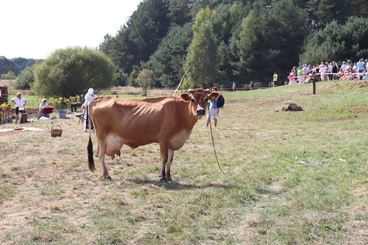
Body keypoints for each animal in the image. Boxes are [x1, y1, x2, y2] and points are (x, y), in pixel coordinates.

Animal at [87, 88, 218, 180]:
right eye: (192, 99)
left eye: (207, 99)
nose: (200, 111)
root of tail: (99, 98)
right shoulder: (163, 139)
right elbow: (164, 158)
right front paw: (162, 177)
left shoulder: (172, 141)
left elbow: (170, 160)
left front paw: (169, 176)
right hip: (102, 136)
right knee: (101, 155)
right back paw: (106, 174)